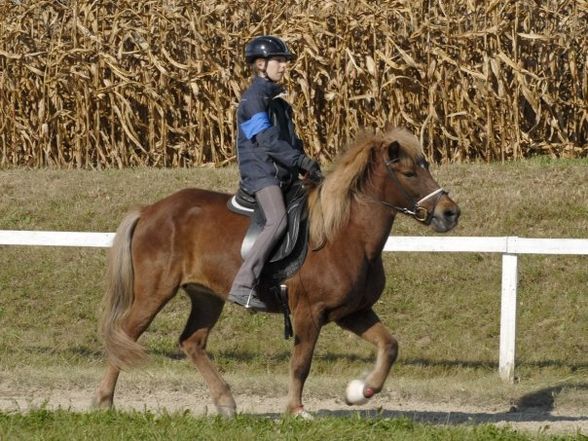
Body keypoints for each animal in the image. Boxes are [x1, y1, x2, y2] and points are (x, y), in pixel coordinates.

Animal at [94, 126, 460, 416]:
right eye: (409, 173)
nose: (450, 213)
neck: (345, 234)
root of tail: (150, 211)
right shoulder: (308, 313)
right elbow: (301, 364)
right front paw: (296, 410)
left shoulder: (353, 312)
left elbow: (390, 346)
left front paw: (362, 391)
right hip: (154, 292)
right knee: (124, 335)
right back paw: (104, 401)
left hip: (207, 296)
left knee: (192, 342)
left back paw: (226, 402)